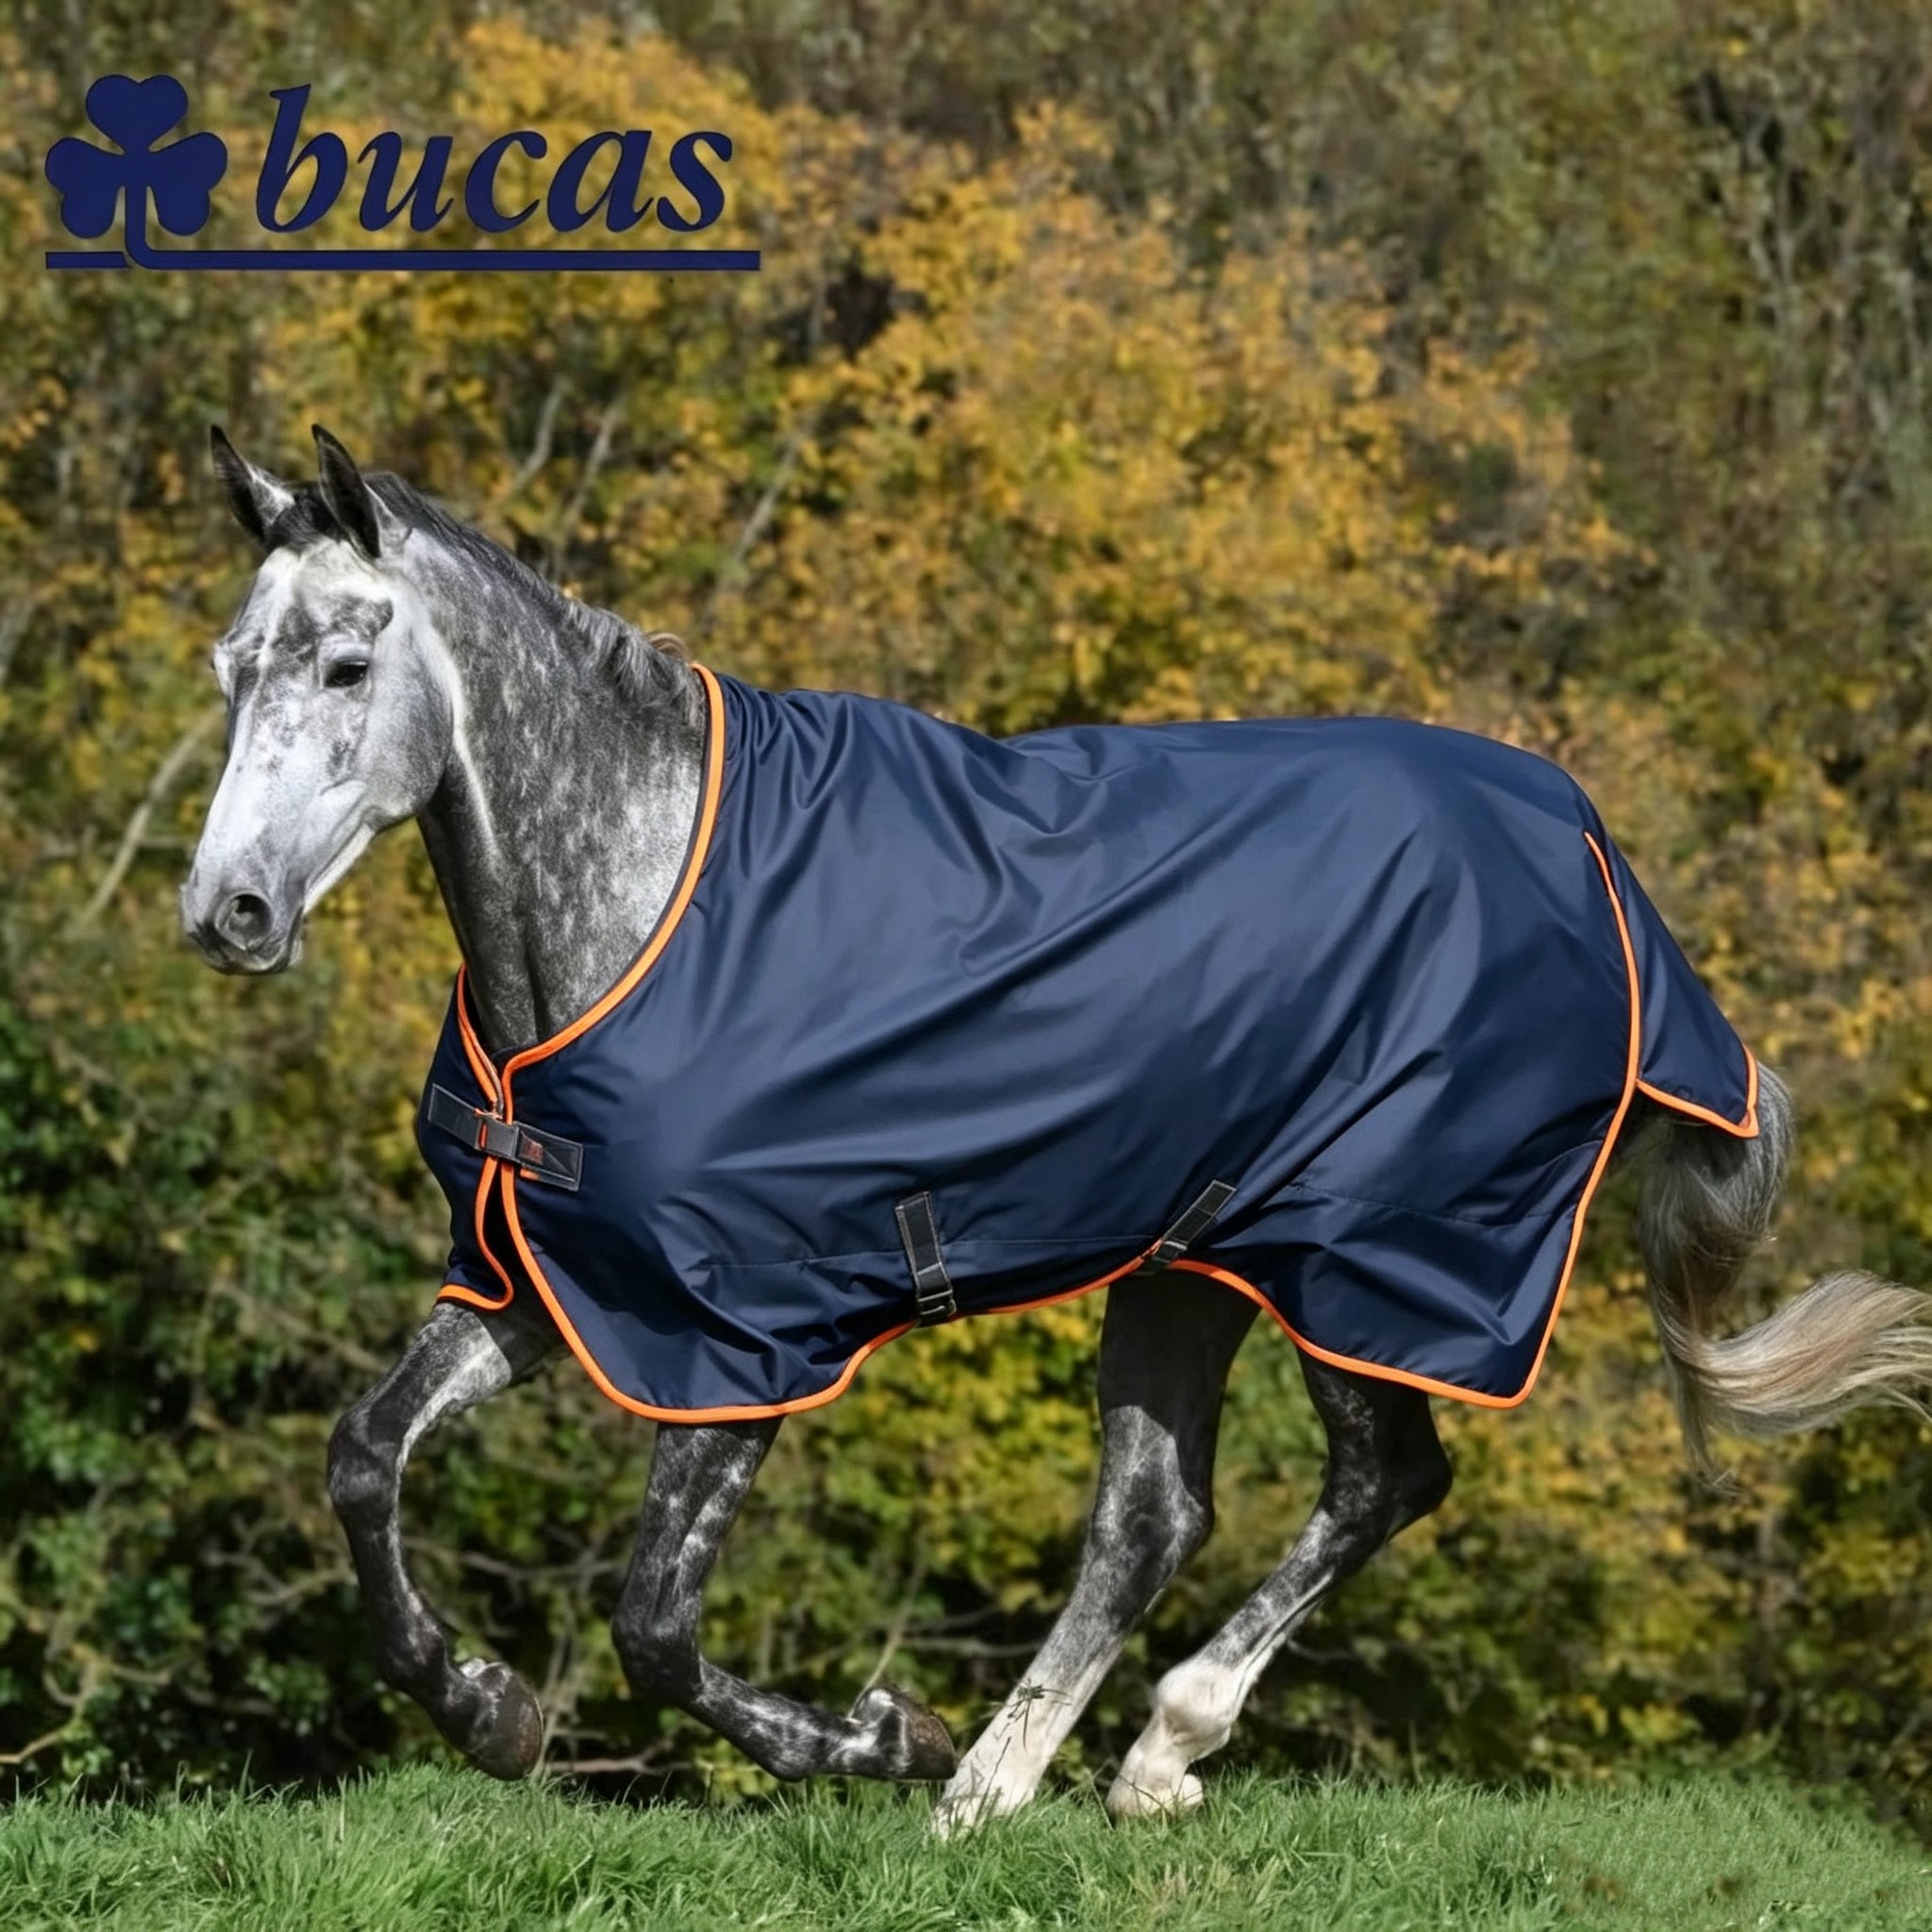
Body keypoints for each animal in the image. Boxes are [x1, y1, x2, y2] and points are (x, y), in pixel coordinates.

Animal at [181, 424, 1932, 1828]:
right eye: (227, 665)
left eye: (346, 665)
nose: (228, 913)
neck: (640, 897)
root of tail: (1596, 861)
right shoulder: (555, 1286)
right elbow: (362, 1456)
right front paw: (487, 1706)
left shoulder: (744, 1332)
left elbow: (654, 1625)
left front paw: (871, 1734)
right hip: (1189, 1261)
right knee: (1152, 1518)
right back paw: (1000, 1786)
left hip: (1364, 1257)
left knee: (1381, 1482)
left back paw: (1144, 1753)